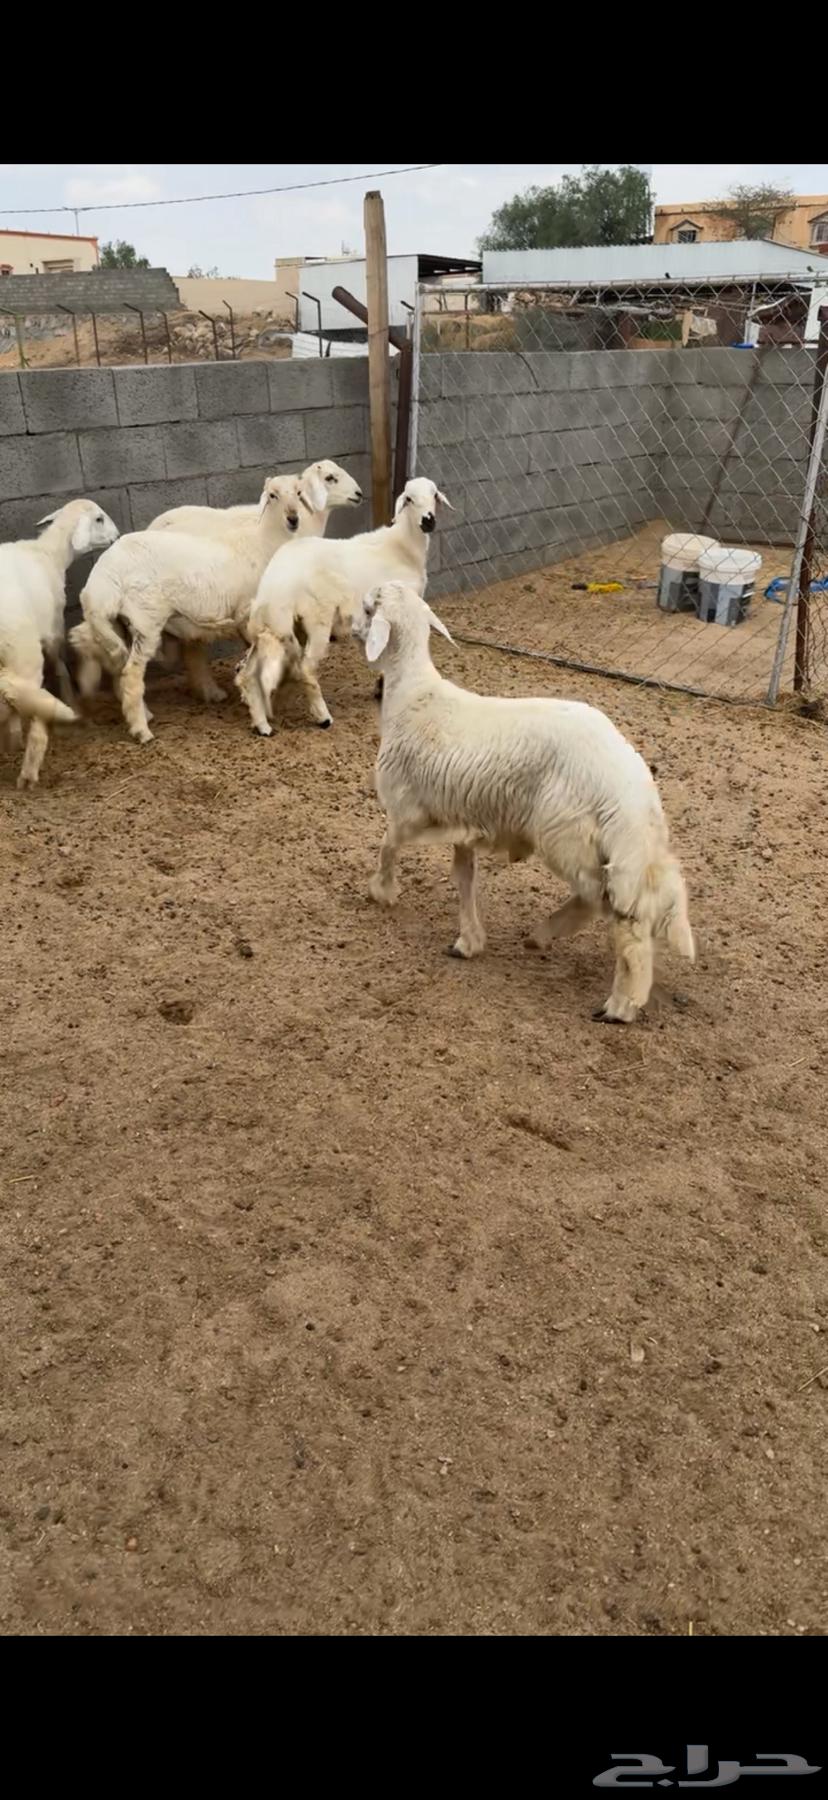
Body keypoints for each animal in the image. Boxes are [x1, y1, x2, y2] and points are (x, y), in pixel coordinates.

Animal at [0, 498, 119, 788]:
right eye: (99, 519)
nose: (117, 535)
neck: (48, 553)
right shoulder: (53, 627)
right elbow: (61, 666)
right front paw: (72, 700)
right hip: (23, 653)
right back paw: (29, 771)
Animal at [70, 472, 325, 743]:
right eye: (273, 495)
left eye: (298, 493)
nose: (293, 519)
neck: (264, 542)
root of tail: (104, 573)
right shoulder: (254, 616)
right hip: (146, 620)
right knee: (130, 674)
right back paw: (142, 730)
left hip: (121, 623)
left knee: (115, 663)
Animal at [236, 476, 452, 736]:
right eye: (408, 498)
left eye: (434, 495)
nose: (428, 521)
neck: (402, 547)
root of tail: (276, 582)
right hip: (316, 618)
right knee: (306, 668)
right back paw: (323, 717)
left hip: (273, 625)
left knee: (247, 673)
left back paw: (262, 724)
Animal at [351, 581, 695, 1024]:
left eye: (367, 607)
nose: (350, 627)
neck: (411, 693)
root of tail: (632, 791)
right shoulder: (464, 819)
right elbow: (464, 878)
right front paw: (469, 940)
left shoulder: (409, 809)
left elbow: (387, 846)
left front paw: (383, 891)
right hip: (604, 844)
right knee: (605, 902)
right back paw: (543, 937)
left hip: (567, 834)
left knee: (616, 914)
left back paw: (618, 1003)